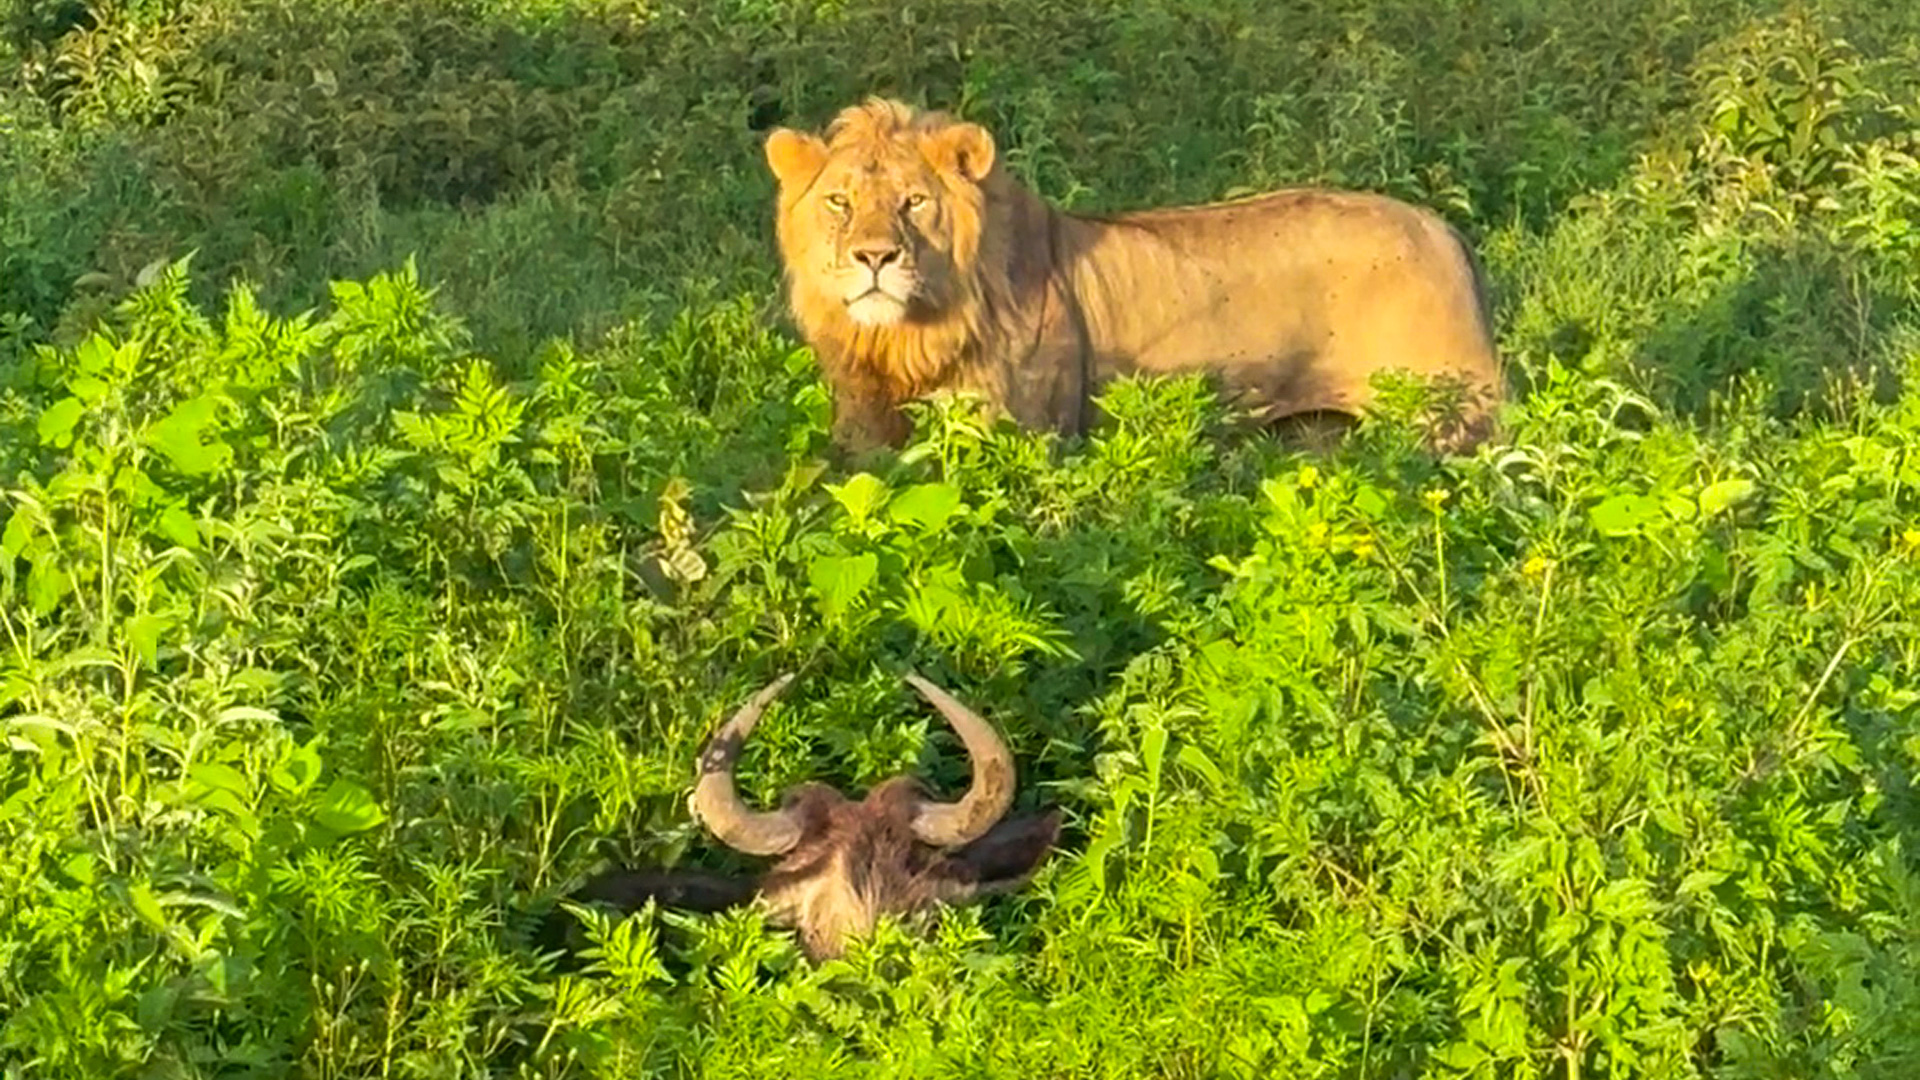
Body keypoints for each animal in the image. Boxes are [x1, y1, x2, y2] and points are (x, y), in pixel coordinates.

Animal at [762, 98, 1505, 455]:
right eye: (840, 203)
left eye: (914, 202)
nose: (875, 258)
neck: (903, 339)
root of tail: (1447, 233)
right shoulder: (863, 437)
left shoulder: (1022, 440)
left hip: (1449, 424)